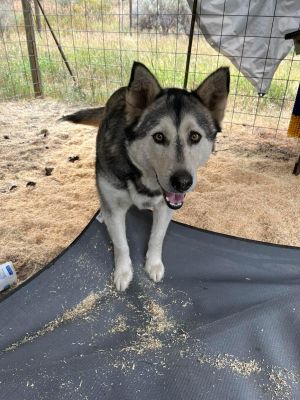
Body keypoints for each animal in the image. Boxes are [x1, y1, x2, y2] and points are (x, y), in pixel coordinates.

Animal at [61, 61, 230, 290]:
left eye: (195, 136)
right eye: (158, 136)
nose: (183, 182)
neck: (142, 179)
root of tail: (122, 89)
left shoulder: (165, 208)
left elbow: (157, 238)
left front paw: (153, 265)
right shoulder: (115, 206)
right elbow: (121, 244)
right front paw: (123, 273)